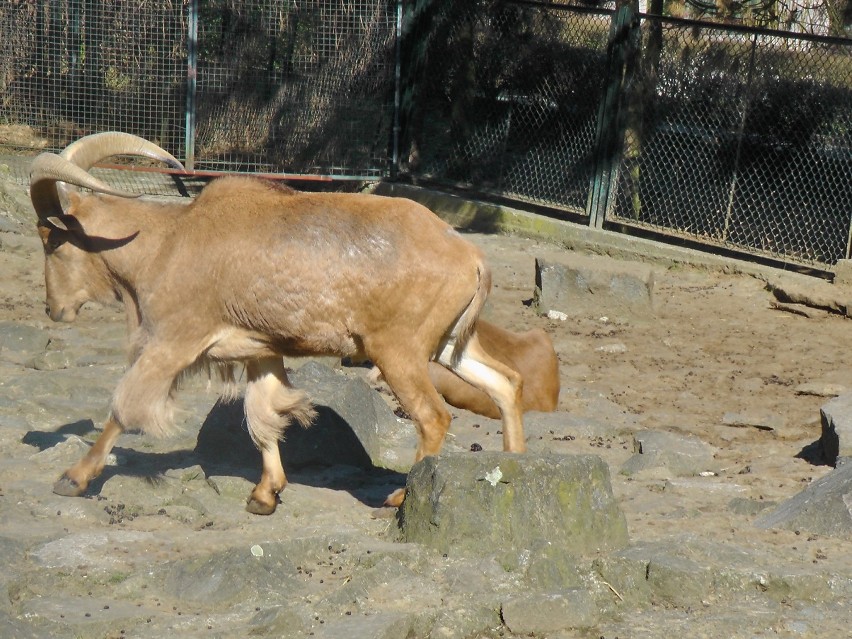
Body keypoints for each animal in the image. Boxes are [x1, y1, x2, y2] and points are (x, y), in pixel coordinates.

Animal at [30, 131, 524, 516]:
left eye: (51, 242)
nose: (53, 308)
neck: (166, 243)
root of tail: (470, 256)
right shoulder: (260, 350)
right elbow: (263, 414)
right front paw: (265, 494)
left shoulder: (173, 341)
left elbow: (124, 408)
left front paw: (73, 478)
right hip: (449, 344)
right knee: (506, 382)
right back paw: (516, 468)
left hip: (399, 351)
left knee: (433, 416)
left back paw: (401, 498)